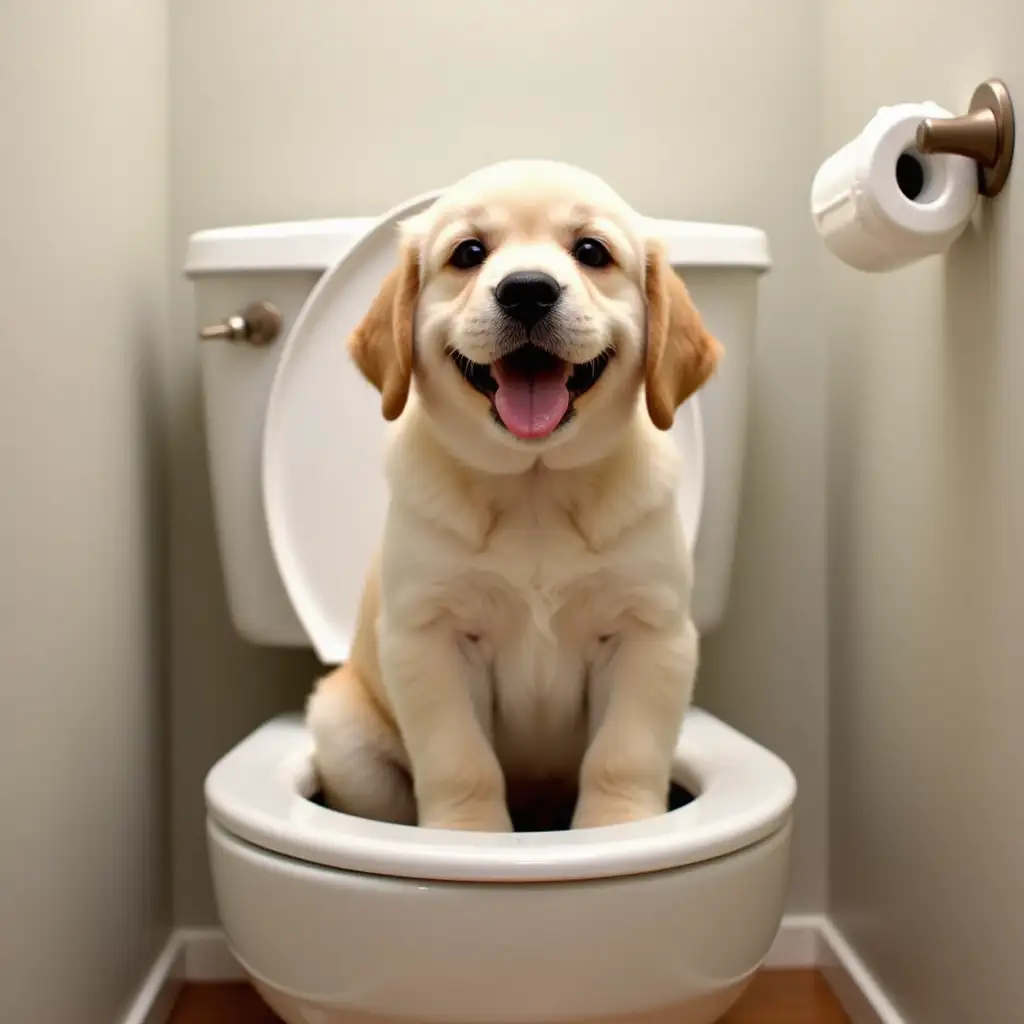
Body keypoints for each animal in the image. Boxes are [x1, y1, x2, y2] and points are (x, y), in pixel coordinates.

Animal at [303, 159, 720, 831]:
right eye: (469, 252)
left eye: (591, 251)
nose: (527, 290)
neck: (535, 489)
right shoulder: (430, 635)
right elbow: (460, 760)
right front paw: (468, 834)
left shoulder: (651, 630)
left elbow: (624, 753)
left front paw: (616, 827)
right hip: (343, 730)